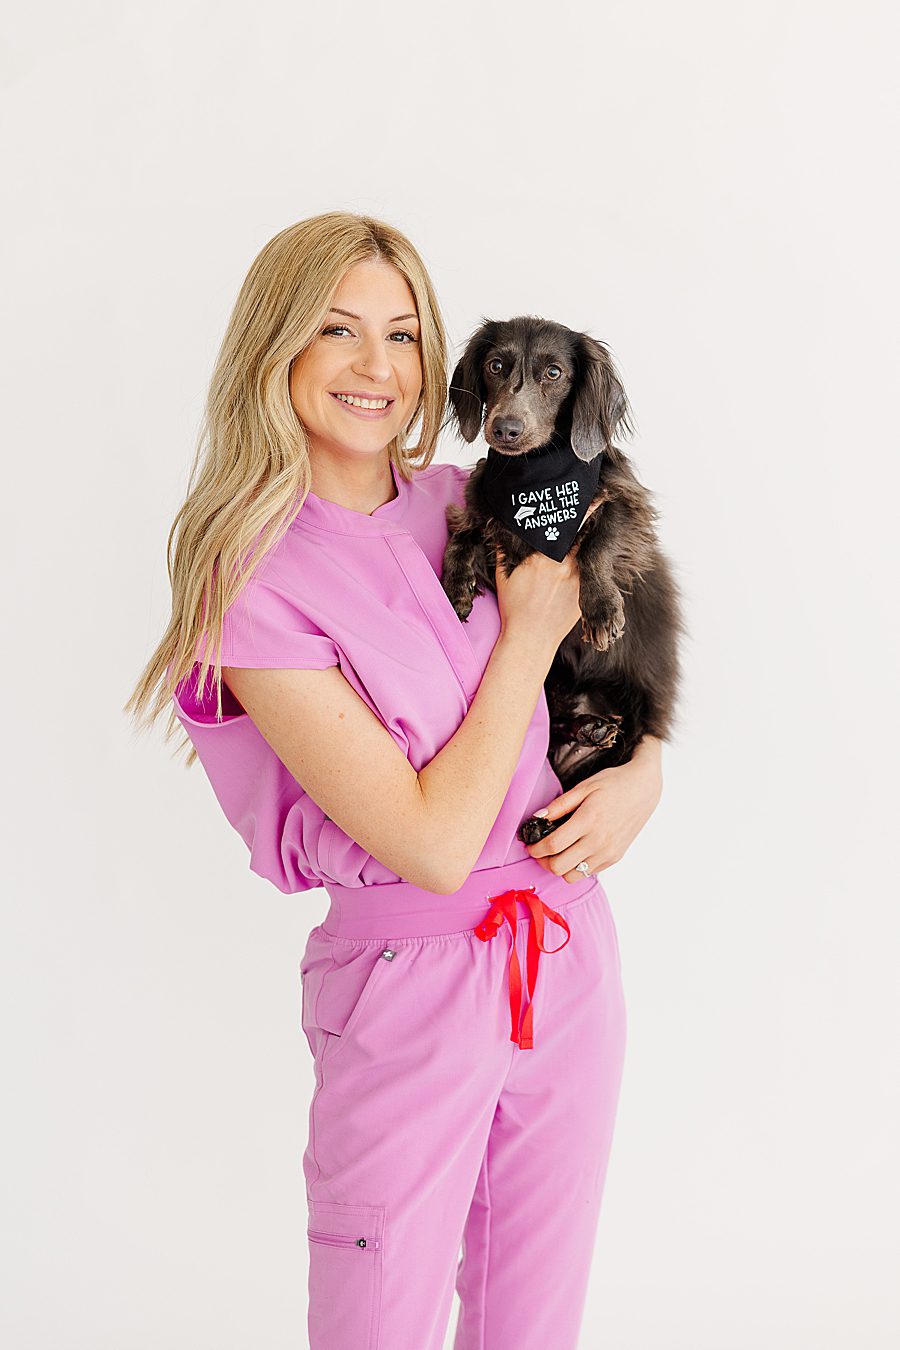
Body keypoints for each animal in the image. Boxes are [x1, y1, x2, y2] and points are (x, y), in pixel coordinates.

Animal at [442, 317, 682, 842]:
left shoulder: (625, 507)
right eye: (496, 365)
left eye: (553, 373)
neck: (538, 477)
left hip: (631, 721)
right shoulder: (484, 516)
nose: (505, 429)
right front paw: (455, 588)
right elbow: (464, 535)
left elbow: (600, 543)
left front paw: (601, 609)